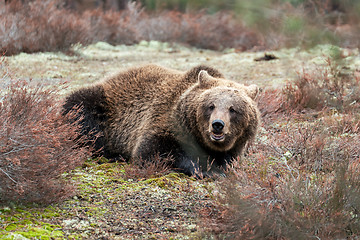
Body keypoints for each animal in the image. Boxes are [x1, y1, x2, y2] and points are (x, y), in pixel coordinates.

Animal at [64, 64, 258, 175]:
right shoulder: (162, 119)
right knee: (81, 114)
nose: (217, 125)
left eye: (233, 109)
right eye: (211, 105)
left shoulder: (233, 148)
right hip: (104, 105)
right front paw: (206, 170)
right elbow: (153, 151)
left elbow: (228, 160)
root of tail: (109, 78)